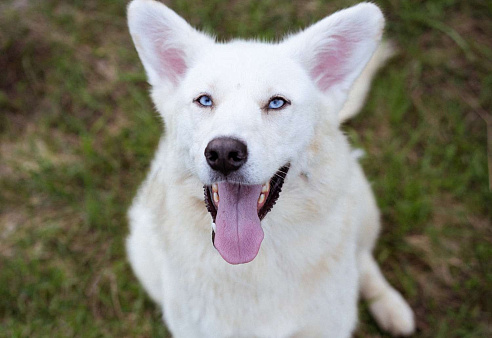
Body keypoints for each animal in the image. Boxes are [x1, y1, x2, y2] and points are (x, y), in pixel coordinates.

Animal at [126, 1, 416, 336]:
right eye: (205, 100)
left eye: (277, 103)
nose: (223, 153)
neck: (252, 264)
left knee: (364, 257)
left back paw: (389, 305)